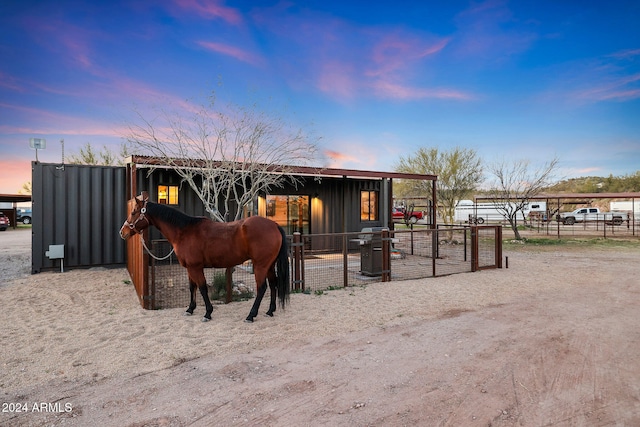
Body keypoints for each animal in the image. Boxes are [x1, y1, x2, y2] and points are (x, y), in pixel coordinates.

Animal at [119, 192, 290, 322]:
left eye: (133, 212)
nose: (123, 232)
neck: (184, 232)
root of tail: (274, 225)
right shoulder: (189, 268)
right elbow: (192, 287)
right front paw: (190, 309)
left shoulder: (195, 267)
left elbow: (202, 288)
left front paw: (207, 313)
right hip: (269, 265)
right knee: (273, 284)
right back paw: (270, 311)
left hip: (260, 265)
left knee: (262, 288)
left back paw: (251, 315)